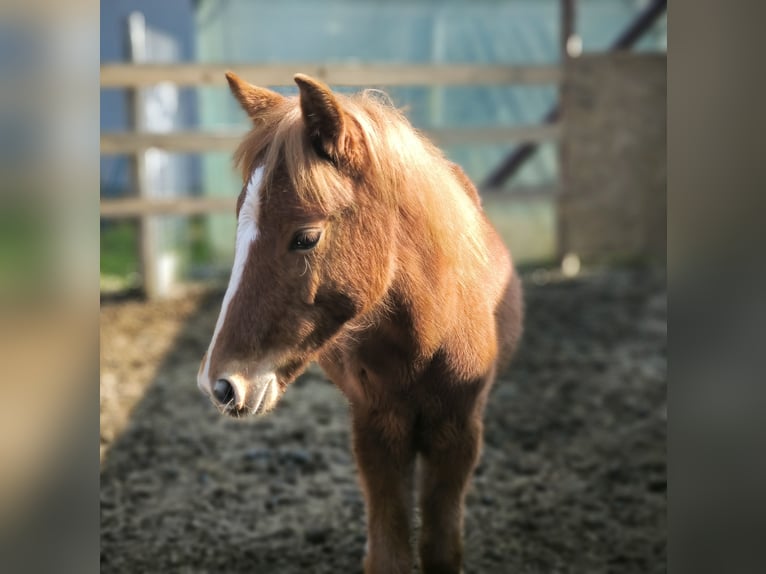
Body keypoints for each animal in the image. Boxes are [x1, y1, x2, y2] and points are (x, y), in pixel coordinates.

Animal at [196, 73, 520, 574]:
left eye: (306, 237)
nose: (221, 385)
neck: (430, 336)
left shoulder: (458, 433)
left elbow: (440, 549)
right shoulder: (377, 430)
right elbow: (389, 554)